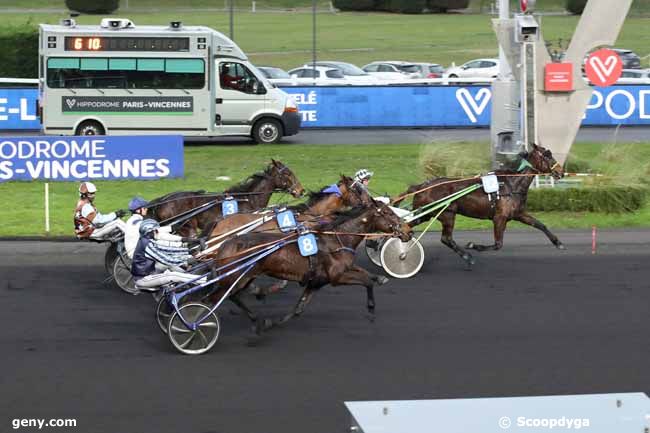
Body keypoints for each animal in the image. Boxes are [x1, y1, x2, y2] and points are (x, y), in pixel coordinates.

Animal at [205, 201, 410, 332]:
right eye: (389, 213)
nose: (408, 230)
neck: (336, 240)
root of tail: (225, 244)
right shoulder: (337, 277)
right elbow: (366, 281)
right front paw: (371, 308)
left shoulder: (317, 281)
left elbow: (298, 308)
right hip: (237, 277)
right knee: (219, 297)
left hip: (246, 277)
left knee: (232, 296)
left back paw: (255, 319)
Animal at [392, 143, 564, 264]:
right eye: (547, 155)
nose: (560, 172)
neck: (511, 184)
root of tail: (421, 186)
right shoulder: (499, 217)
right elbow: (498, 244)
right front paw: (473, 246)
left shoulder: (518, 213)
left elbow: (540, 225)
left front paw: (558, 243)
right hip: (447, 214)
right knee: (445, 238)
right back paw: (467, 256)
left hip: (426, 214)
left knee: (409, 227)